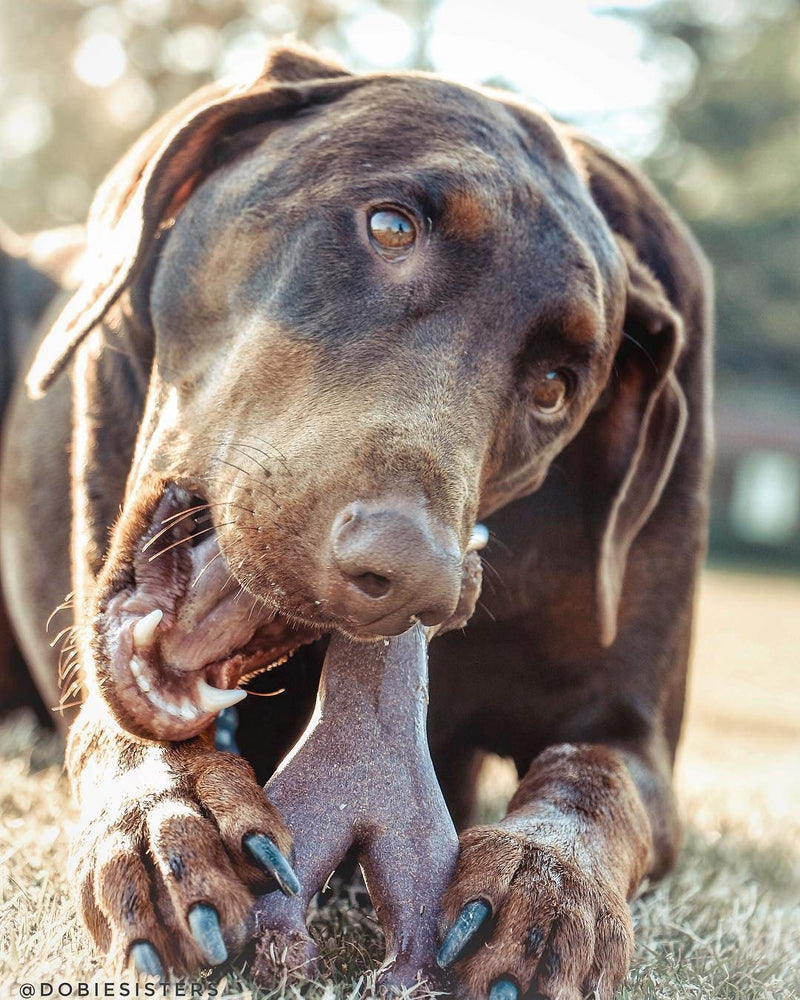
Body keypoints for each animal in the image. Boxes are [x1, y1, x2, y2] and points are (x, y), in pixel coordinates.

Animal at [0, 43, 712, 1000]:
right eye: (391, 228)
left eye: (556, 386)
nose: (411, 580)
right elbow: (119, 729)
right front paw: (167, 813)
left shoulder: (631, 727)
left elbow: (596, 780)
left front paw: (547, 884)